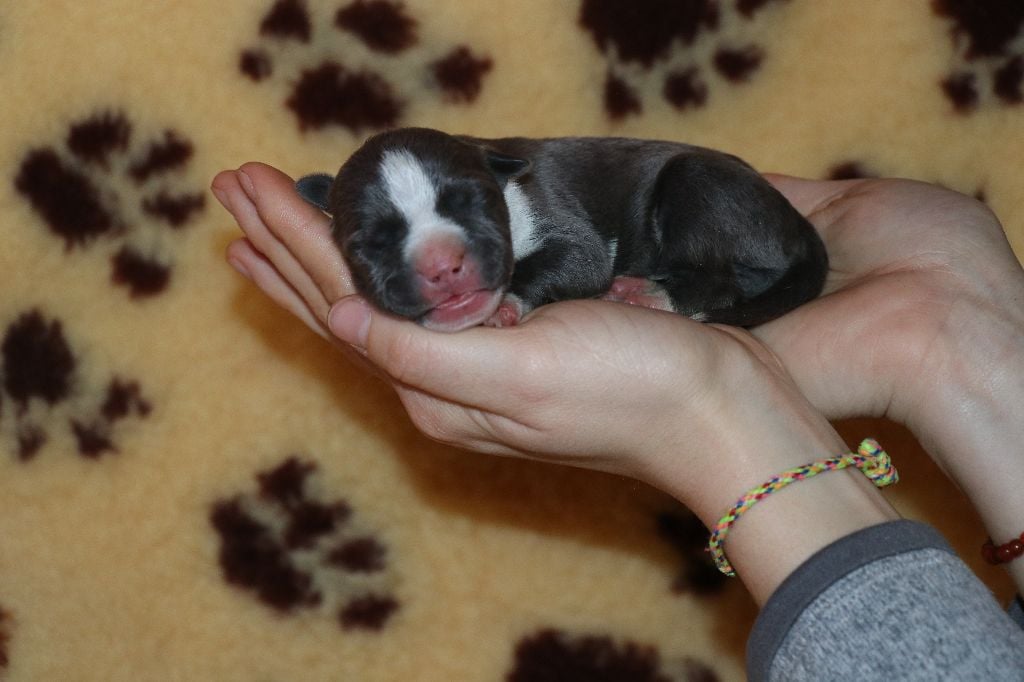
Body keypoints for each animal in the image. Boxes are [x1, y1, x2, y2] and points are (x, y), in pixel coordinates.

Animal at [296, 127, 823, 331]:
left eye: (478, 203)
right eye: (370, 244)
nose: (443, 266)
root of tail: (796, 223)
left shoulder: (567, 230)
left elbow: (570, 260)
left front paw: (508, 302)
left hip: (697, 181)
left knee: (721, 282)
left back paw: (647, 292)